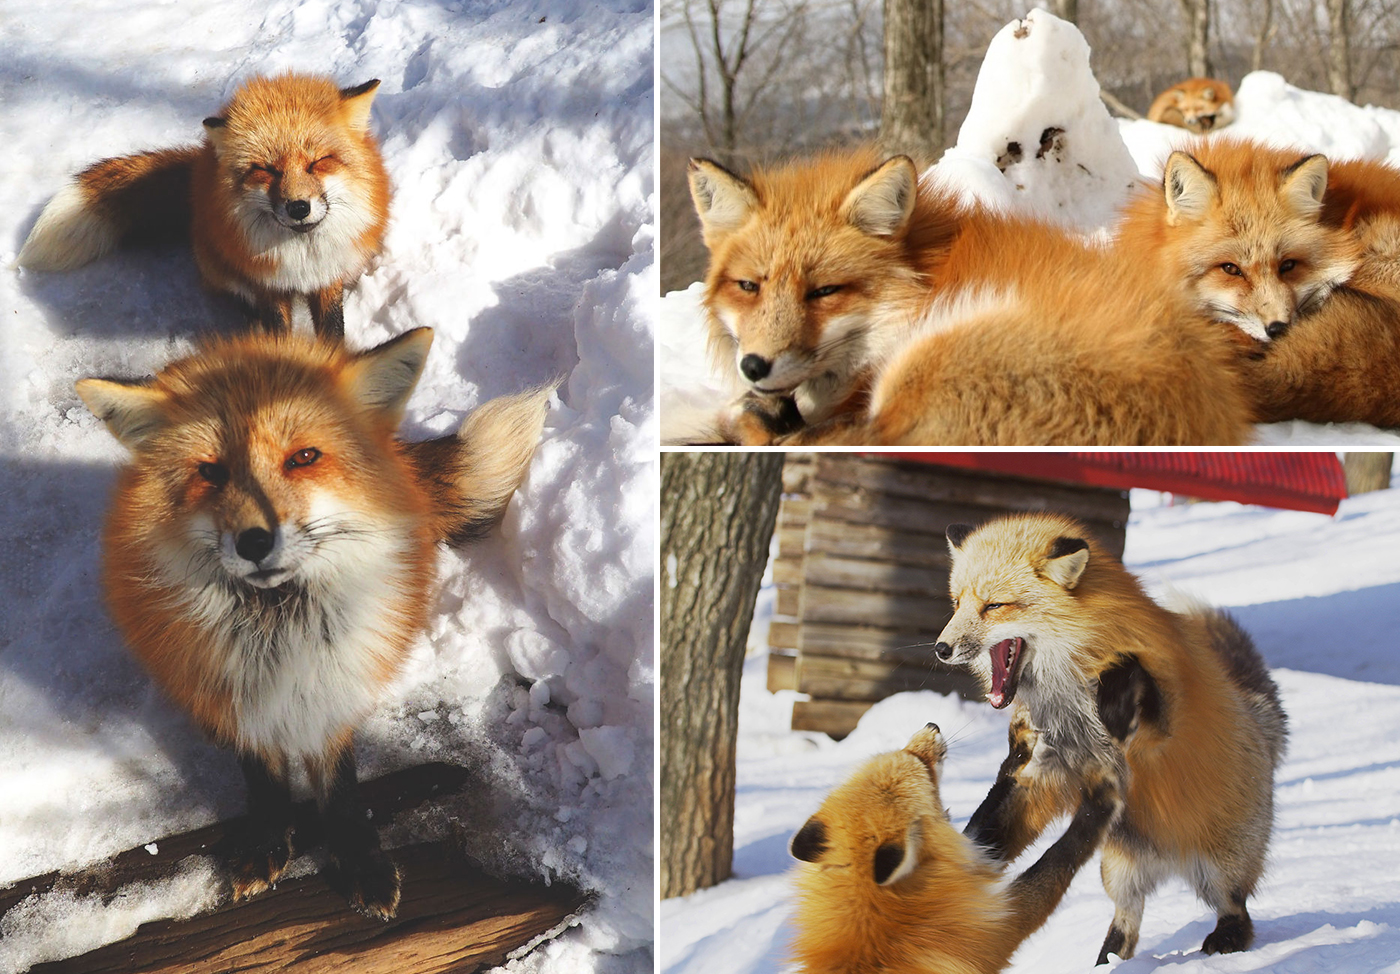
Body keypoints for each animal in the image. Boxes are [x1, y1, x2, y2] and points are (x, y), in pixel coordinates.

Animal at [19, 72, 391, 342]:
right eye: (266, 170)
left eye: (318, 162)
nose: (298, 207)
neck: (302, 257)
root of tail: (199, 169)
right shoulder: (266, 286)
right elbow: (277, 331)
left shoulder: (327, 277)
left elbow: (333, 332)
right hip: (216, 264)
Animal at [75, 328, 553, 918]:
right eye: (211, 472)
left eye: (303, 457)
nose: (255, 542)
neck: (281, 628)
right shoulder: (235, 690)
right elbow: (264, 778)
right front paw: (267, 841)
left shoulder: (334, 682)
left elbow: (340, 787)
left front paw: (359, 858)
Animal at [788, 723, 1122, 974]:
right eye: (919, 763)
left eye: (904, 750)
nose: (932, 726)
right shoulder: (999, 928)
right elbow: (1059, 860)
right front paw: (1099, 802)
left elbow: (990, 823)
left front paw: (1022, 751)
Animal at [930, 513, 1287, 963]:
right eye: (957, 602)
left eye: (994, 605)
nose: (941, 648)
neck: (1068, 692)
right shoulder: (1049, 767)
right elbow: (998, 829)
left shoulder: (1163, 721)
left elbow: (1134, 671)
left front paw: (1116, 694)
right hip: (1117, 870)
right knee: (1126, 923)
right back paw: (1107, 962)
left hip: (1220, 869)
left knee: (1239, 911)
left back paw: (1226, 940)